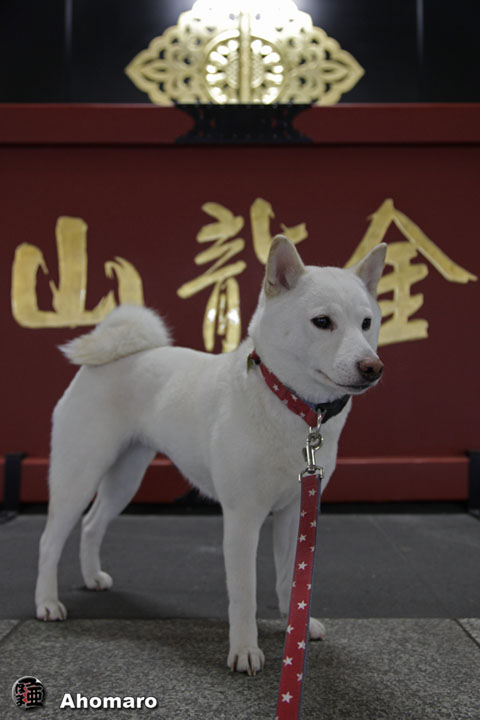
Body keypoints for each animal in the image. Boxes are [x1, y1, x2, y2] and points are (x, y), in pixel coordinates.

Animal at [35, 235, 386, 675]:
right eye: (323, 322)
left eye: (366, 323)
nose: (372, 366)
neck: (292, 406)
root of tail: (110, 357)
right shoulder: (242, 518)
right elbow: (245, 593)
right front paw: (245, 650)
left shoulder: (296, 510)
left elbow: (291, 577)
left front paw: (297, 626)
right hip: (78, 475)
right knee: (50, 540)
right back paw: (47, 603)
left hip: (125, 478)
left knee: (91, 524)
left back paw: (92, 577)